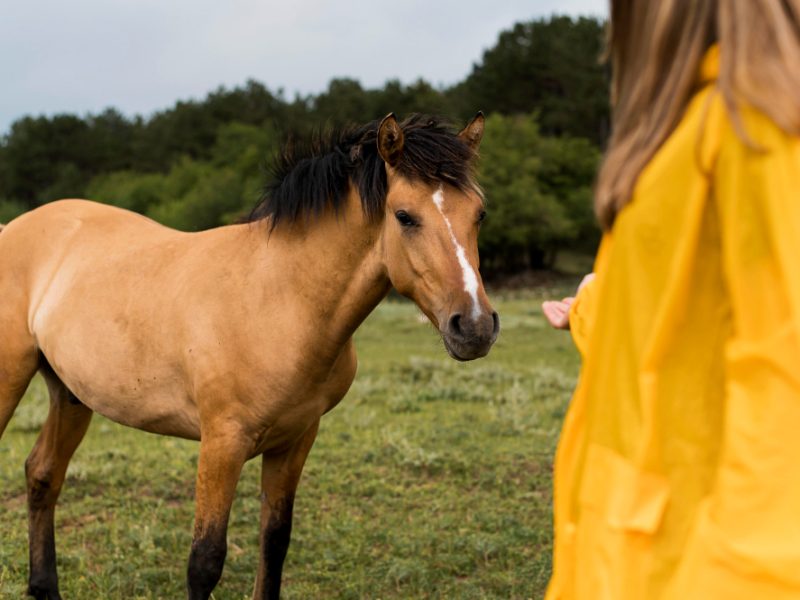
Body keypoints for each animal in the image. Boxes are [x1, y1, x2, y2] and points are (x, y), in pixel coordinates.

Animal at [0, 112, 499, 599]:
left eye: (479, 213)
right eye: (404, 216)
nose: (474, 326)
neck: (276, 297)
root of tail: (13, 228)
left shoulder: (295, 439)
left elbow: (274, 542)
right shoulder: (223, 442)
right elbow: (204, 561)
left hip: (70, 395)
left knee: (42, 475)